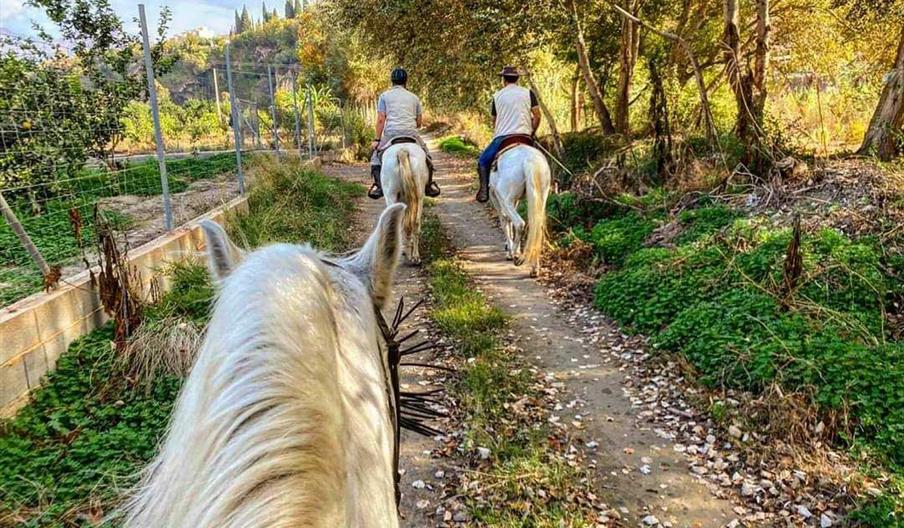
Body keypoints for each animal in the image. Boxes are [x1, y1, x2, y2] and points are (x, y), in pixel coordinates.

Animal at [488, 144, 552, 277]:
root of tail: (530, 159)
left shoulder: (496, 197)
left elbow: (505, 221)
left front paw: (510, 250)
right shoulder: (514, 200)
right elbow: (508, 220)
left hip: (506, 199)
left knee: (519, 223)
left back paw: (515, 256)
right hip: (541, 196)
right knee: (536, 229)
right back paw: (534, 269)